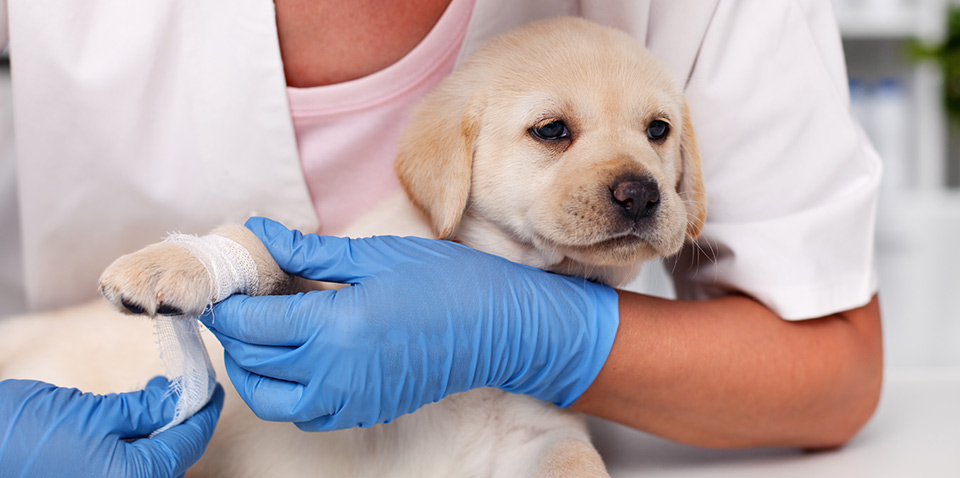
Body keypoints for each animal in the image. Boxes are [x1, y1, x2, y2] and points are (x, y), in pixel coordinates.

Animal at [1, 16, 704, 476]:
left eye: (658, 130)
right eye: (552, 130)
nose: (641, 194)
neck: (512, 269)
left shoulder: (537, 432)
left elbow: (574, 457)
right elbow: (261, 248)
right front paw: (171, 262)